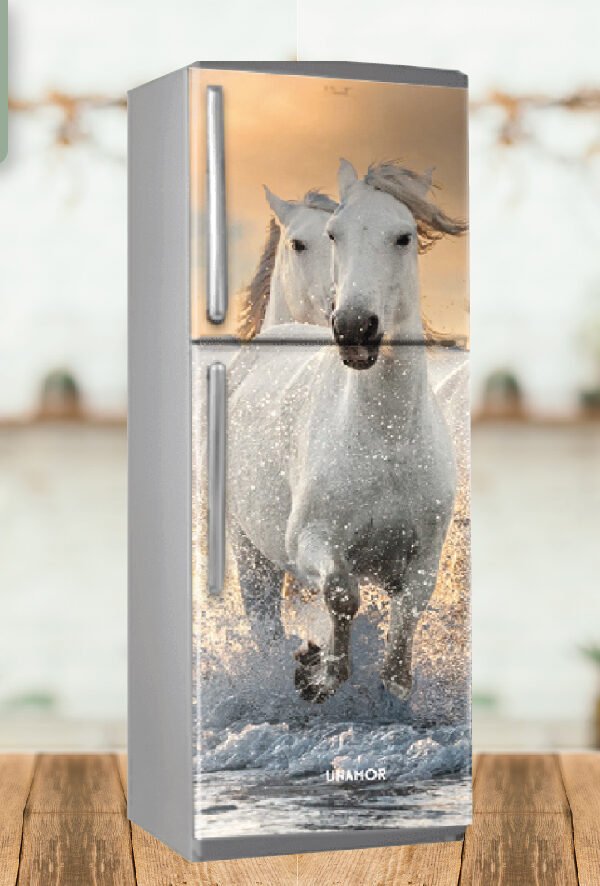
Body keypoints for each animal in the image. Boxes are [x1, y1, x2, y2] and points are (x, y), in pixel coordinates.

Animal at [227, 159, 468, 704]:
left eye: (403, 236)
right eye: (335, 233)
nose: (355, 327)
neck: (384, 440)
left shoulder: (425, 554)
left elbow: (405, 620)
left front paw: (394, 685)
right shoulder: (310, 542)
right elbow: (341, 594)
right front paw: (318, 672)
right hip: (249, 552)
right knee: (264, 622)